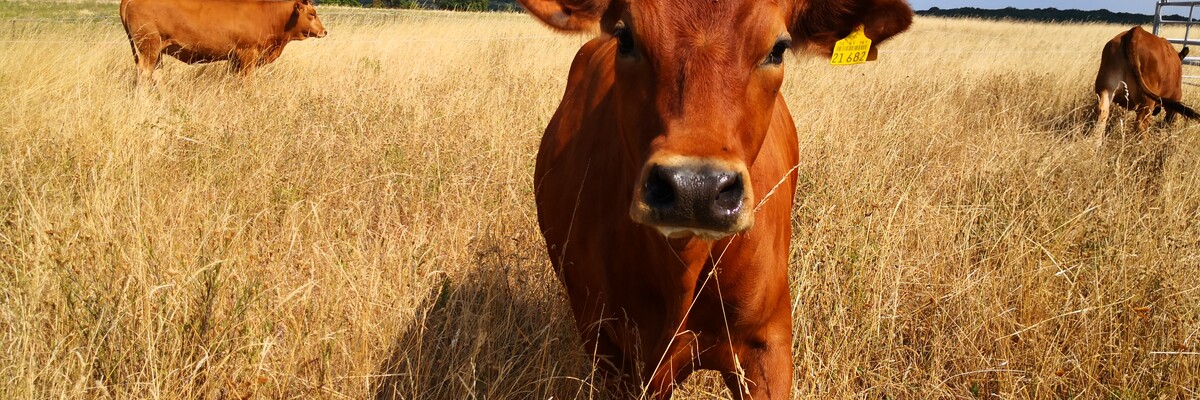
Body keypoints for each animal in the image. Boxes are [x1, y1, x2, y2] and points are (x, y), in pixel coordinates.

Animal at [119, 0, 328, 86]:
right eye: (312, 14)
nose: (324, 31)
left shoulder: (234, 59)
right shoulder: (248, 55)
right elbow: (246, 81)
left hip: (157, 51)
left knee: (156, 75)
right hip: (149, 47)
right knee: (144, 74)